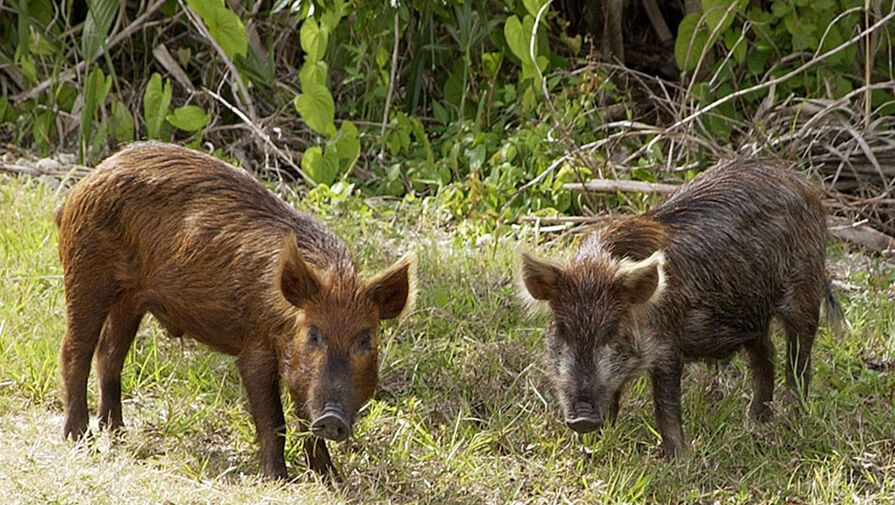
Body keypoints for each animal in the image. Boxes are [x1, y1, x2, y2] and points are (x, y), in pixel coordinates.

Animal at [57, 141, 414, 476]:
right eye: (314, 335)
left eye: (365, 340)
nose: (333, 418)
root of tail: (86, 181)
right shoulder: (255, 348)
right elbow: (274, 419)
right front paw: (278, 479)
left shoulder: (299, 371)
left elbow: (304, 420)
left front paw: (331, 478)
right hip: (85, 272)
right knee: (75, 351)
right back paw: (80, 438)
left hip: (130, 298)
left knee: (109, 355)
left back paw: (117, 433)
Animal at [520, 159, 844, 458]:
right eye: (562, 329)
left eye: (611, 330)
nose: (582, 419)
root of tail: (806, 185)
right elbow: (613, 398)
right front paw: (596, 446)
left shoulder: (667, 347)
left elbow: (666, 406)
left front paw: (676, 460)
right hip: (752, 316)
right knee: (766, 356)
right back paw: (756, 421)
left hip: (804, 294)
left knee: (799, 362)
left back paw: (792, 418)